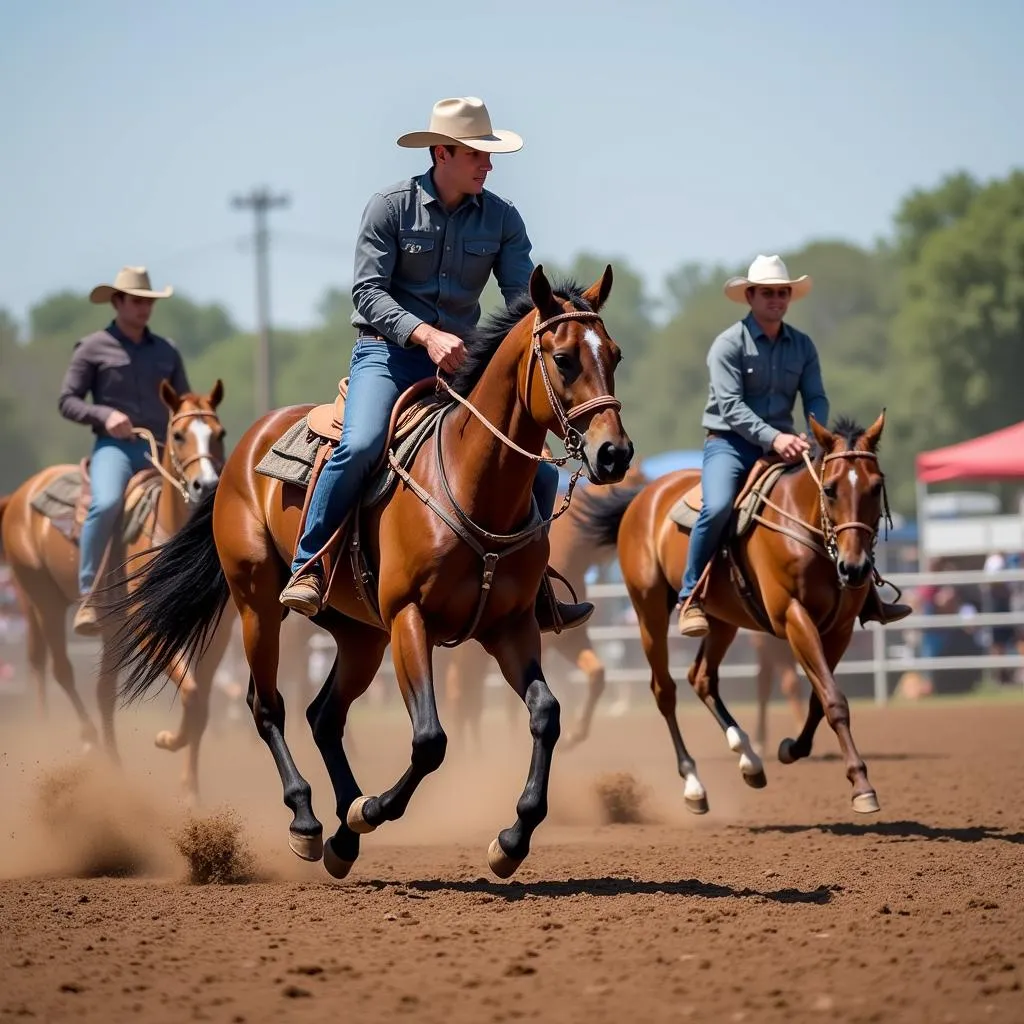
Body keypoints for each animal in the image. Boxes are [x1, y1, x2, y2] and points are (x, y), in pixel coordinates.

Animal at [0, 380, 228, 794]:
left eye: (220, 433)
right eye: (179, 434)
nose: (206, 486)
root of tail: (21, 495)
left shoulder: (217, 635)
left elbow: (201, 703)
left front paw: (190, 790)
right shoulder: (146, 624)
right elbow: (190, 693)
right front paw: (168, 740)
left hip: (106, 627)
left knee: (102, 692)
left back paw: (115, 770)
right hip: (43, 599)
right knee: (60, 670)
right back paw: (88, 740)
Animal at [103, 270, 630, 880]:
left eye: (614, 354)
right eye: (564, 359)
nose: (615, 454)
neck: (472, 483)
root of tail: (242, 452)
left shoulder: (511, 627)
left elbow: (546, 713)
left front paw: (511, 839)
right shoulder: (409, 619)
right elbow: (429, 739)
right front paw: (370, 810)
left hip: (359, 635)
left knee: (324, 715)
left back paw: (341, 840)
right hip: (258, 604)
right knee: (268, 707)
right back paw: (309, 823)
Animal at [581, 413, 892, 815]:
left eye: (875, 487)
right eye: (830, 489)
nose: (854, 569)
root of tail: (644, 497)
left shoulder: (840, 630)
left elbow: (821, 697)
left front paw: (792, 748)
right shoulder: (793, 618)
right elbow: (833, 700)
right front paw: (861, 786)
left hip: (722, 621)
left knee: (701, 678)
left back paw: (749, 759)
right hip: (648, 611)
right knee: (665, 690)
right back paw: (694, 785)